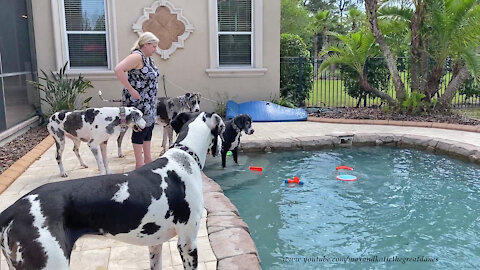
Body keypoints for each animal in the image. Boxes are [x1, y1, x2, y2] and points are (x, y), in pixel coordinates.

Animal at [0, 110, 225, 268]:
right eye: (222, 129)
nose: (224, 146)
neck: (183, 157)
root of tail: (14, 209)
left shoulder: (155, 244)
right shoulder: (187, 243)